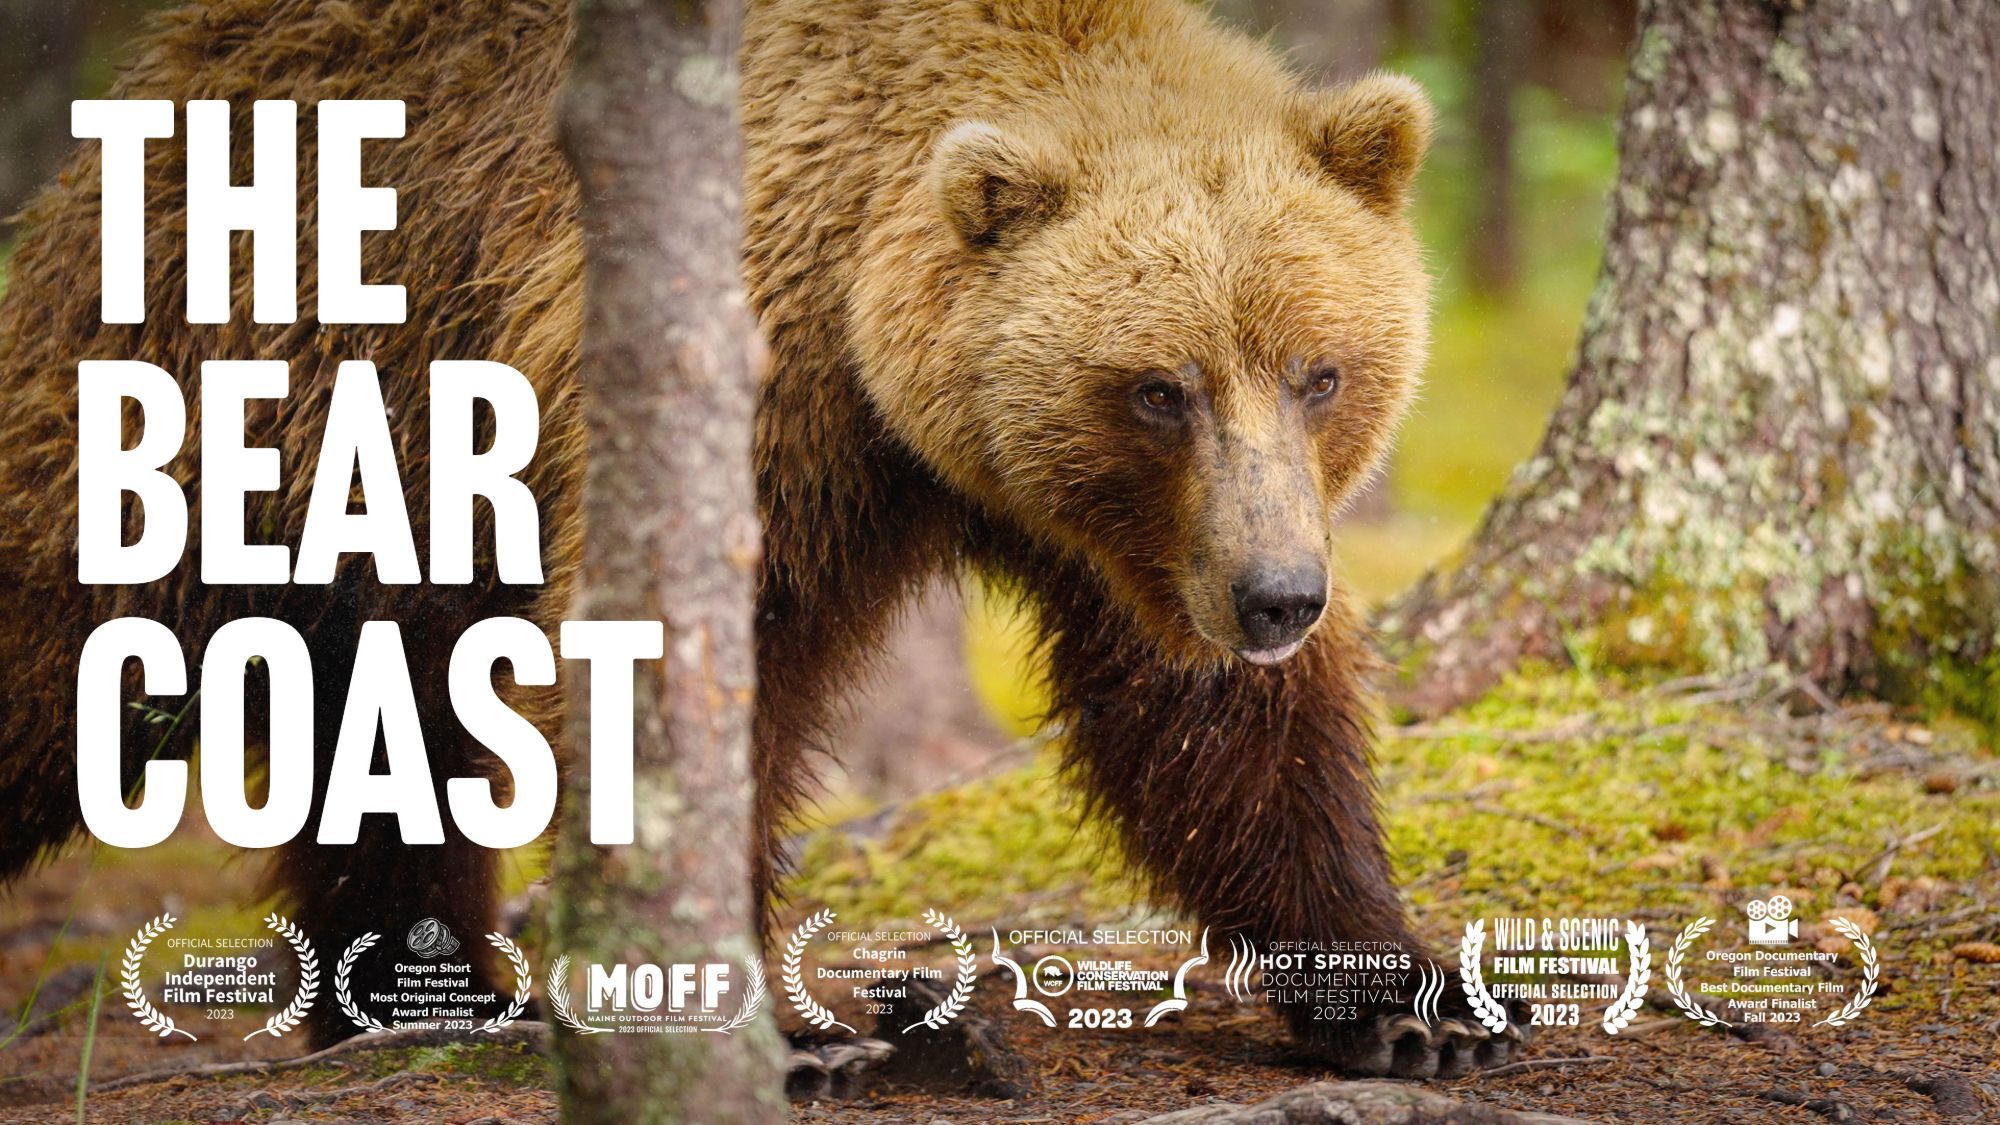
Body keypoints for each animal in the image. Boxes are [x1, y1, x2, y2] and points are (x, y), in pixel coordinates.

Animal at [0, 0, 1523, 1076]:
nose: (1278, 597)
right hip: (232, 371)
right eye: (1158, 387)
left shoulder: (1143, 544)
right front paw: (783, 1021)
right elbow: (712, 679)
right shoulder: (748, 391)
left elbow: (1214, 731)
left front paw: (1412, 1002)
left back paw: (430, 993)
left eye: (1318, 370)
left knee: (394, 722)